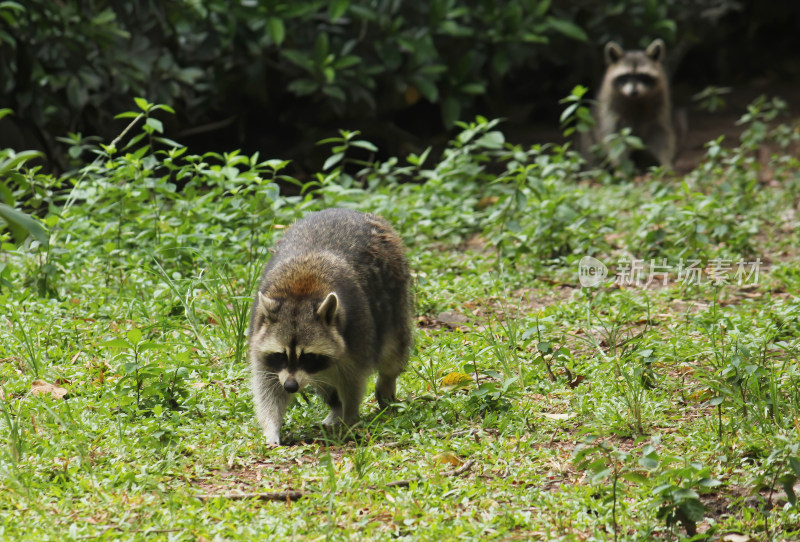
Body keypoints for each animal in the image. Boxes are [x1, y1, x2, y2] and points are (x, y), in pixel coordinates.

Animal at [248, 208, 412, 446]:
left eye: (308, 356)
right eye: (280, 355)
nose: (291, 386)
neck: (301, 291)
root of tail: (349, 210)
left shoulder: (357, 336)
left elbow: (353, 381)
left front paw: (350, 418)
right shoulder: (260, 338)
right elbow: (268, 388)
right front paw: (272, 428)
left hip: (396, 296)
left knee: (392, 353)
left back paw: (385, 383)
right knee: (326, 384)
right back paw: (335, 407)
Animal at [580, 39, 680, 171]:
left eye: (642, 76)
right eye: (625, 76)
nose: (633, 92)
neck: (635, 99)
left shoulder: (660, 102)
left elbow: (660, 133)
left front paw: (666, 163)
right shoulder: (610, 104)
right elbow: (614, 136)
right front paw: (621, 168)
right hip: (590, 137)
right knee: (592, 154)